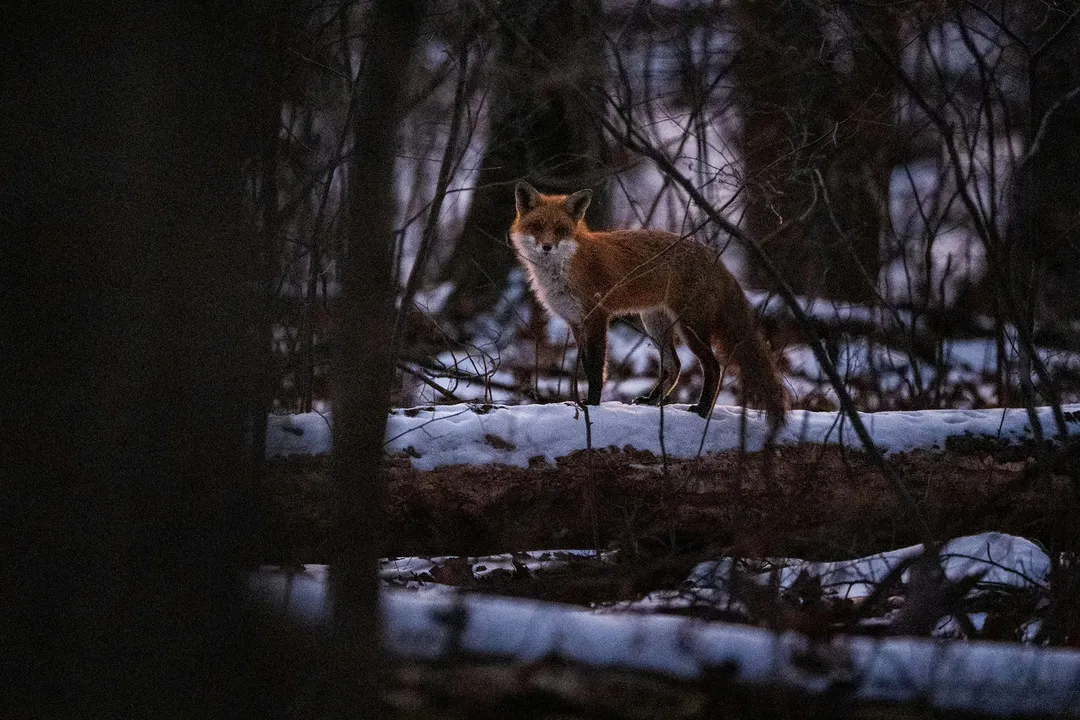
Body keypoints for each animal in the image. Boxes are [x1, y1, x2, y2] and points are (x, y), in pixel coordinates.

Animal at [510, 181, 789, 431]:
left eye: (560, 229)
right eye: (537, 226)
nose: (547, 247)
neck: (566, 266)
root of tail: (715, 259)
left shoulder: (598, 316)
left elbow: (596, 369)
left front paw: (593, 405)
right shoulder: (576, 322)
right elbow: (587, 366)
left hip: (690, 327)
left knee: (713, 367)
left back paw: (702, 410)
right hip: (655, 324)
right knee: (674, 365)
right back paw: (653, 400)